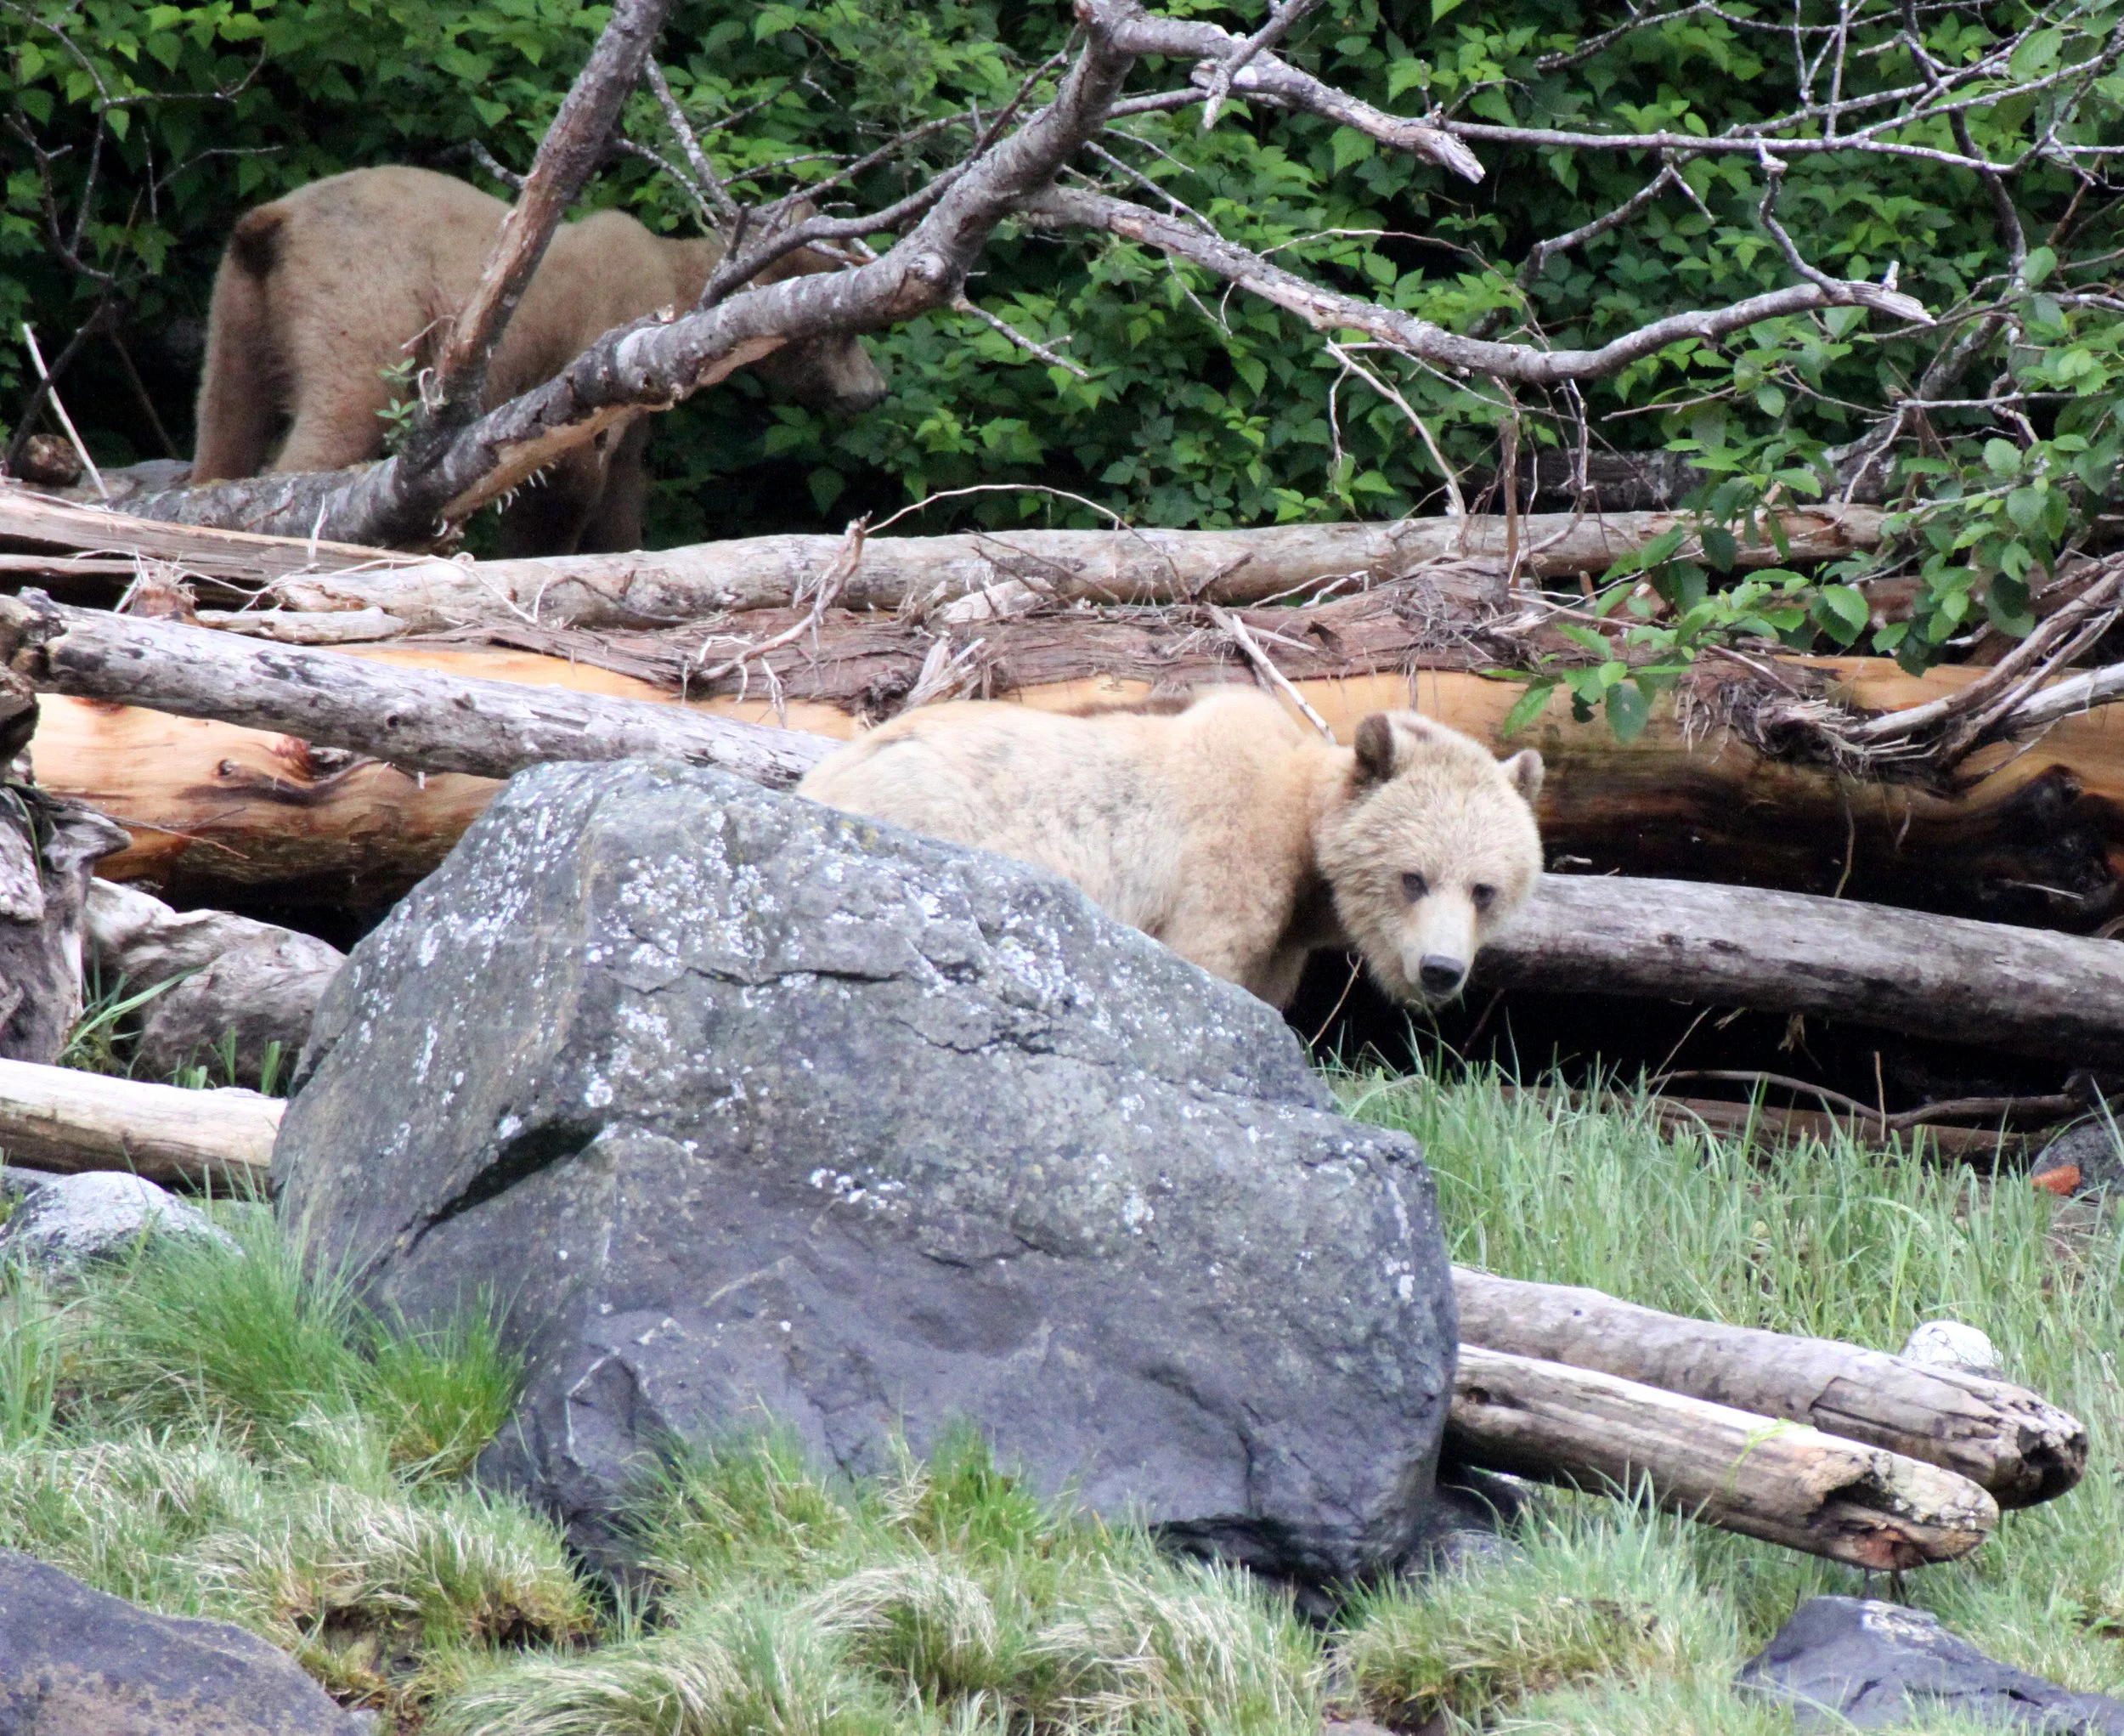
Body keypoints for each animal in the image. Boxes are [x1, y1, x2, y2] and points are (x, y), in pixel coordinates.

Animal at [190, 165, 888, 556]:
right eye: (845, 330)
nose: (874, 391)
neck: (675, 284)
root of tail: (274, 222)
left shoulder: (636, 405)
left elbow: (624, 490)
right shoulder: (596, 345)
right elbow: (564, 478)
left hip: (239, 312)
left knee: (226, 419)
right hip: (364, 299)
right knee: (339, 413)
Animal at [797, 685, 1545, 1010]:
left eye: (1484, 889)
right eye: (1413, 877)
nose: (1441, 970)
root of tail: (819, 778)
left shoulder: (1284, 946)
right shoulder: (1226, 868)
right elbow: (1208, 965)